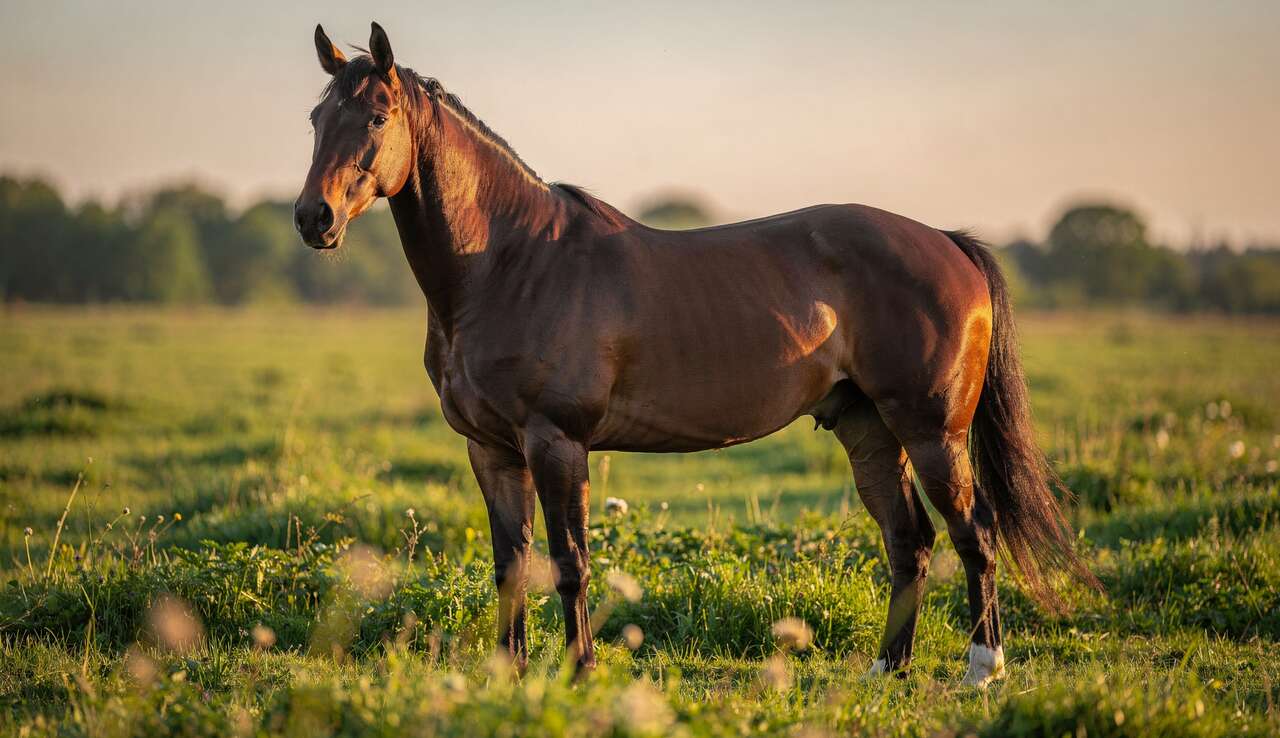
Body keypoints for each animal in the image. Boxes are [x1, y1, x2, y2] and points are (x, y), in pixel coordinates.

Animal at [295, 22, 1098, 687]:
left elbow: (569, 562)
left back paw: (981, 670)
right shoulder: (490, 450)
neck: (508, 261)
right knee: (911, 542)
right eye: (314, 119)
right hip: (869, 429)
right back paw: (886, 668)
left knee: (974, 533)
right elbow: (510, 565)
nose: (313, 218)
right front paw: (507, 674)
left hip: (933, 431)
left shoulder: (557, 442)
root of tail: (949, 242)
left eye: (376, 116)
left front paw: (580, 673)